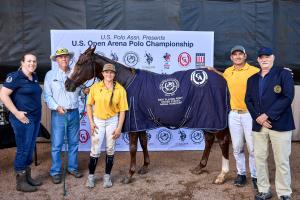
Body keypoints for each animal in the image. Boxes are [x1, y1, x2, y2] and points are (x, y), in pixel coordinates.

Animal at [65, 47, 230, 184]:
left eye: (81, 63)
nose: (67, 84)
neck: (127, 82)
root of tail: (222, 79)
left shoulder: (132, 123)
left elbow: (132, 147)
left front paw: (129, 175)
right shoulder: (140, 122)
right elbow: (144, 142)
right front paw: (145, 166)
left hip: (215, 119)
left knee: (222, 142)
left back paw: (222, 175)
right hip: (207, 119)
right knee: (209, 140)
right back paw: (200, 167)